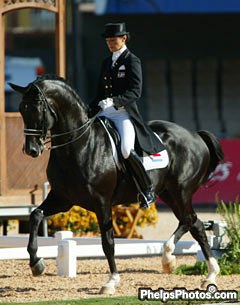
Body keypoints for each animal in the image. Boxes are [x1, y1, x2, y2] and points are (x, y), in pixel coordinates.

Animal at [9, 75, 223, 294]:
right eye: (22, 109)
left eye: (38, 109)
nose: (32, 150)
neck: (80, 145)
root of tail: (196, 135)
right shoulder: (62, 199)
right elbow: (35, 215)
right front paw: (36, 264)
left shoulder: (101, 201)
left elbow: (108, 241)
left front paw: (111, 281)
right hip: (168, 193)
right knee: (194, 224)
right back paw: (190, 268)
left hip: (181, 191)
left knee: (191, 221)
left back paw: (188, 265)